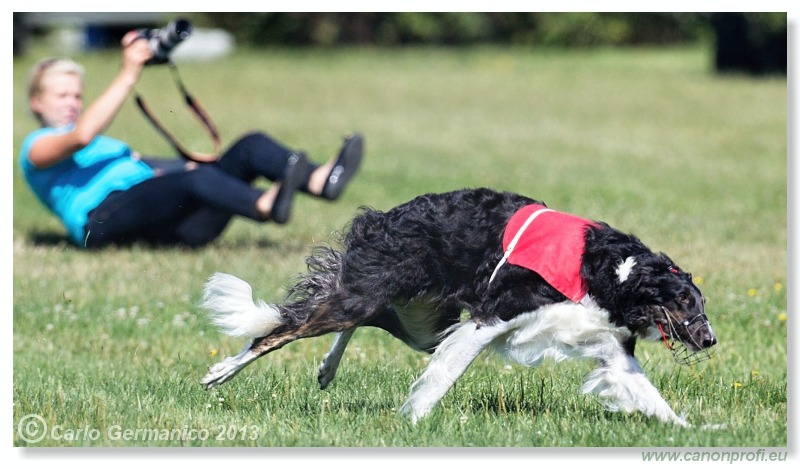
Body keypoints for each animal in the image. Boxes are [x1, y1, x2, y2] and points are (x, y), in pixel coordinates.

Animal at [200, 186, 720, 424]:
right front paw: (413, 418)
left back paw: (327, 369)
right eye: (684, 300)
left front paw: (691, 429)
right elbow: (445, 376)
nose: (711, 338)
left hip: (421, 320)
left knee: (362, 320)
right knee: (282, 328)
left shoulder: (608, 346)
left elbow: (651, 396)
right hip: (373, 297)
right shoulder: (491, 317)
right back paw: (221, 371)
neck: (613, 272)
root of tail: (384, 216)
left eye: (699, 302)